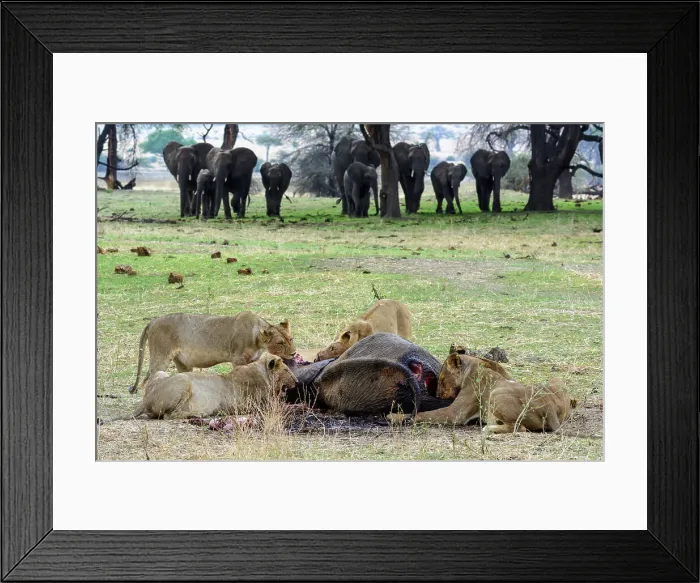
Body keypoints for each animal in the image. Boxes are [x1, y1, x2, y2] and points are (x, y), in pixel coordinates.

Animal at [101, 354, 296, 422]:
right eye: (287, 370)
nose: (296, 381)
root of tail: (146, 400)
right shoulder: (256, 405)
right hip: (183, 380)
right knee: (169, 415)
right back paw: (199, 414)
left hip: (161, 373)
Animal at [128, 311, 295, 393]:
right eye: (280, 343)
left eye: (291, 339)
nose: (293, 353)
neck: (257, 339)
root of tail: (153, 321)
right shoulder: (238, 360)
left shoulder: (252, 361)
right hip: (161, 355)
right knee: (146, 381)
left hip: (181, 362)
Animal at [414, 353, 573, 432]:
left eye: (441, 380)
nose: (437, 395)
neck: (474, 366)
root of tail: (549, 407)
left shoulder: (455, 414)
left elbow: (425, 414)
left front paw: (410, 416)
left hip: (495, 394)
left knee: (519, 428)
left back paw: (489, 428)